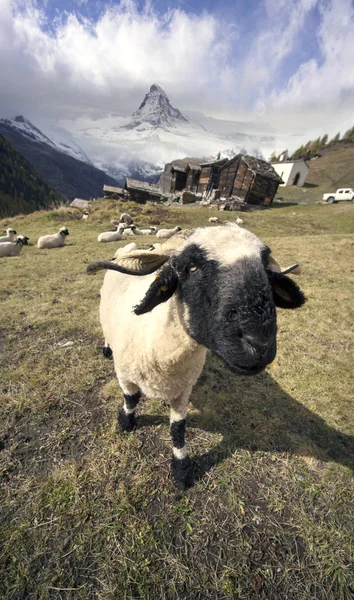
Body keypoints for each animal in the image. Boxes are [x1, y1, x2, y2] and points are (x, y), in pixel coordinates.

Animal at [87, 223, 306, 490]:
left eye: (265, 268)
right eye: (190, 267)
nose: (259, 343)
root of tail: (129, 248)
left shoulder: (184, 388)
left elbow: (178, 429)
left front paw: (182, 470)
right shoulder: (125, 375)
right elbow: (131, 399)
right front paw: (126, 423)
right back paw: (106, 348)